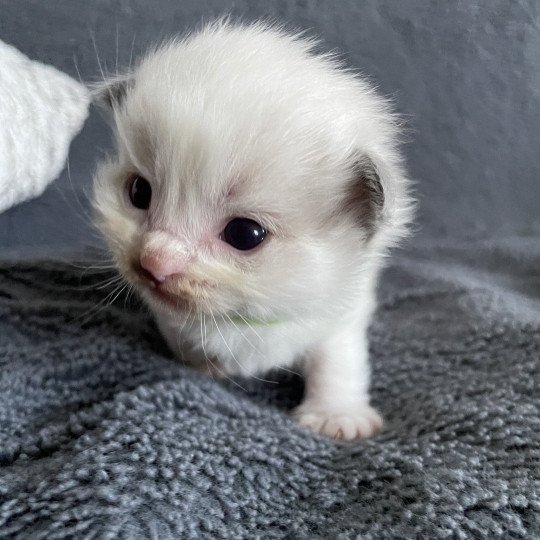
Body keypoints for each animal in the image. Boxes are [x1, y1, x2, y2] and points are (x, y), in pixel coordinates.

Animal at [94, 22, 414, 442]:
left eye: (245, 235)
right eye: (139, 193)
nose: (153, 261)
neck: (243, 320)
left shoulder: (342, 313)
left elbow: (337, 362)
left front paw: (337, 416)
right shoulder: (172, 316)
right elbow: (183, 337)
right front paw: (203, 366)